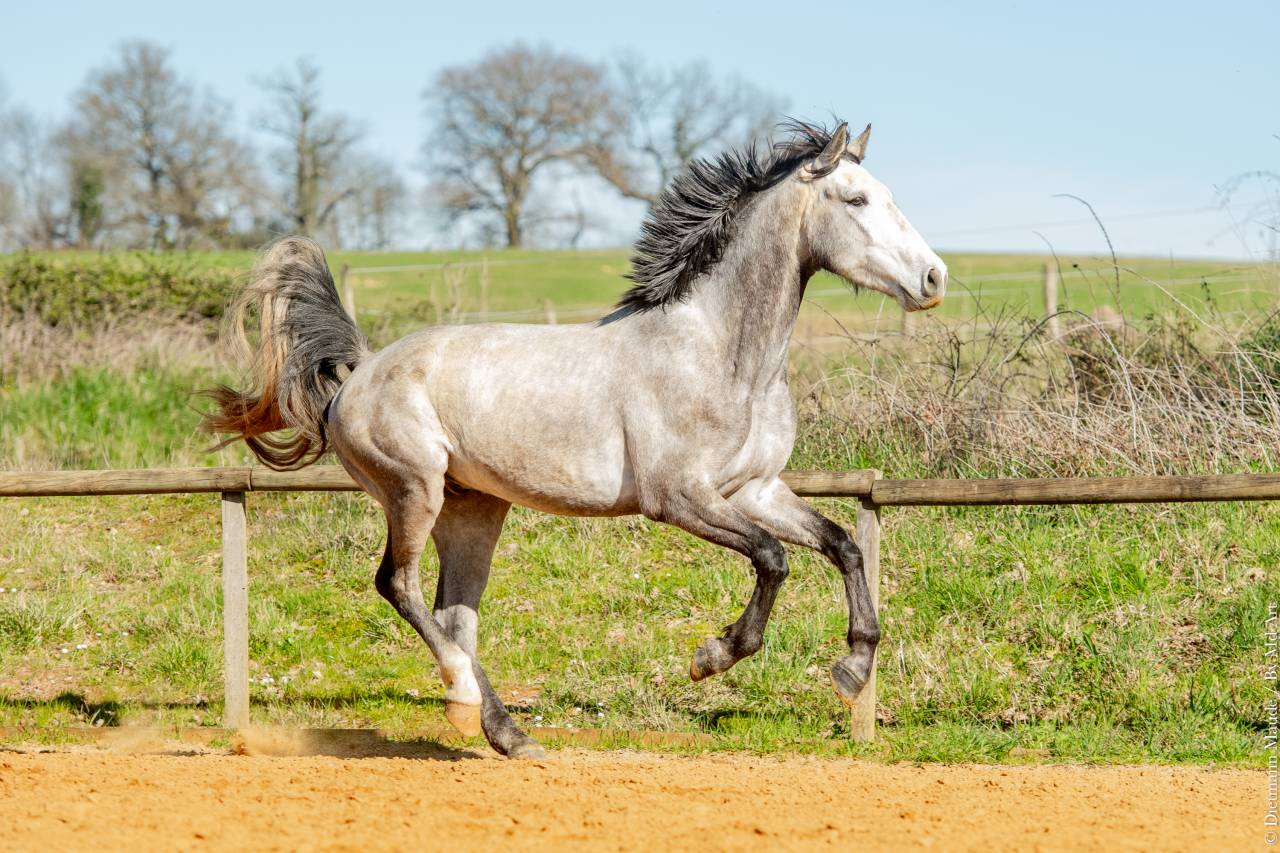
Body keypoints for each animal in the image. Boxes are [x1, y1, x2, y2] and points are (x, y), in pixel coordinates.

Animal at [204, 120, 946, 759]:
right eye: (856, 199)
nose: (934, 279)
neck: (721, 352)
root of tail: (358, 374)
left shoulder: (755, 489)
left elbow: (843, 544)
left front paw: (852, 668)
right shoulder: (680, 498)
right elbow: (773, 558)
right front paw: (711, 657)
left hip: (475, 508)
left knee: (454, 613)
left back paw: (506, 733)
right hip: (415, 488)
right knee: (398, 585)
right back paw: (463, 696)